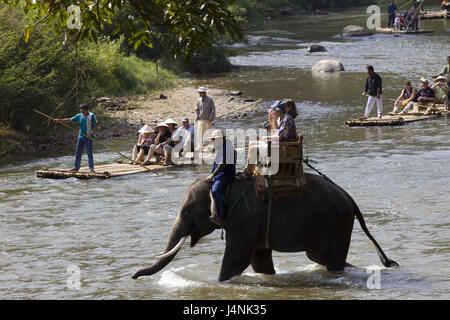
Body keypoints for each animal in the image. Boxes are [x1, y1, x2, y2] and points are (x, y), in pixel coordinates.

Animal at [132, 174, 400, 282]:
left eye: (187, 211)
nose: (133, 276)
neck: (222, 184)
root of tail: (350, 198)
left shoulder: (243, 220)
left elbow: (237, 260)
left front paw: (217, 282)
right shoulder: (254, 225)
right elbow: (258, 260)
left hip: (336, 223)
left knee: (329, 259)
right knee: (321, 258)